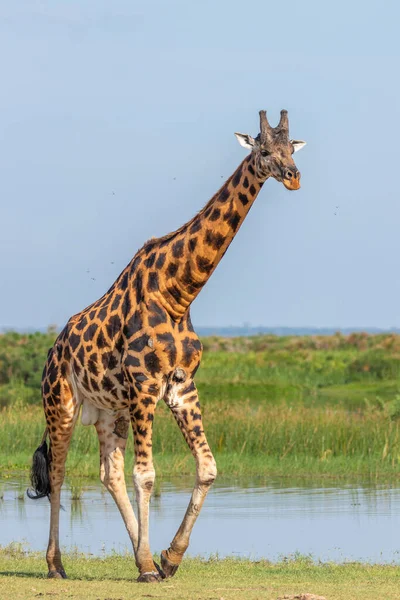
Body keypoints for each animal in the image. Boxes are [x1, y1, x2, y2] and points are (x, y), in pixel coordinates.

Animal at [28, 108, 306, 580]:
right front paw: (149, 564)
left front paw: (167, 559)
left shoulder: (181, 386)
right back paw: (56, 565)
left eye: (293, 148)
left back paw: (135, 555)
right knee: (60, 473)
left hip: (110, 410)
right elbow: (147, 475)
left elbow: (207, 468)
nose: (293, 176)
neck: (178, 293)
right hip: (60, 402)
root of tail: (53, 351)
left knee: (108, 473)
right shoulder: (145, 385)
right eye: (264, 150)